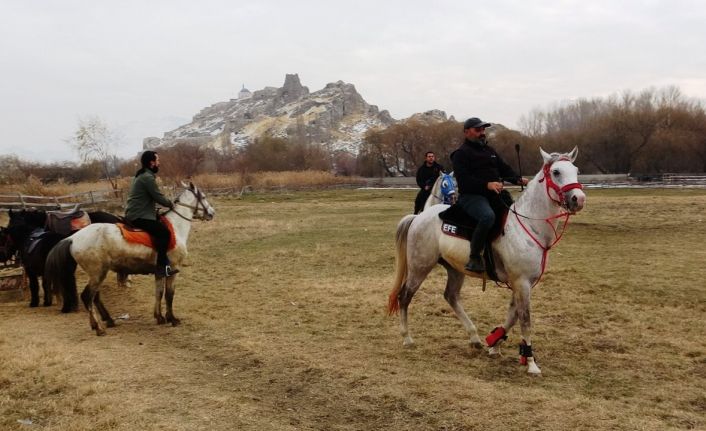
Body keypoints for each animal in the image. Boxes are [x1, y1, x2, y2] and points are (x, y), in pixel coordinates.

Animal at [45, 182, 213, 338]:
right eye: (203, 197)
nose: (212, 213)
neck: (175, 227)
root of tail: (73, 238)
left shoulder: (159, 272)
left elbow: (158, 293)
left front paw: (159, 317)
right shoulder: (173, 269)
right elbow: (169, 295)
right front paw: (172, 319)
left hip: (97, 274)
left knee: (95, 297)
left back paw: (105, 321)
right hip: (98, 273)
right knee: (87, 297)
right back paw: (99, 328)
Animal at [384, 148, 584, 374]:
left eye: (576, 170)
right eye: (556, 172)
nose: (578, 199)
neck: (528, 225)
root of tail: (418, 217)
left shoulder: (522, 284)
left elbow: (513, 315)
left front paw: (494, 343)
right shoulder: (522, 282)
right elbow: (525, 319)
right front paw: (531, 362)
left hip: (455, 269)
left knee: (451, 296)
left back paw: (474, 337)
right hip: (419, 267)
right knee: (405, 296)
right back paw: (407, 338)